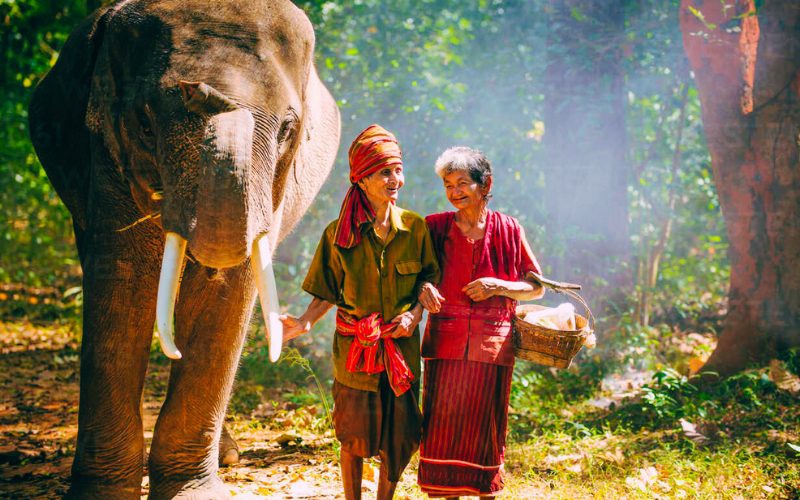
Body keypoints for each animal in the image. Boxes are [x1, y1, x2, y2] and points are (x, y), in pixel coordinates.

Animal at [28, 1, 340, 498]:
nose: (201, 91)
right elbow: (122, 284)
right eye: (145, 124)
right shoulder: (105, 156)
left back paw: (227, 456)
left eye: (288, 129)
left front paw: (192, 492)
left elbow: (226, 293)